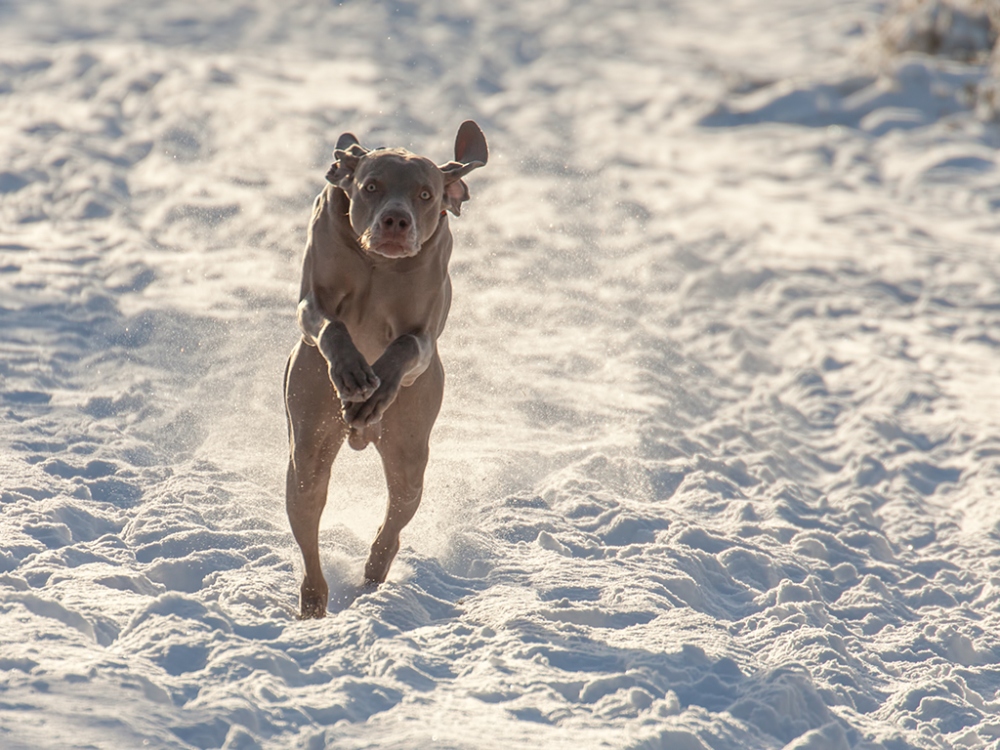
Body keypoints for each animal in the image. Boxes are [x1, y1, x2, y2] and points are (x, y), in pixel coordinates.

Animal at [284, 120, 490, 620]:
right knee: (309, 514)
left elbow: (405, 346)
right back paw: (314, 599)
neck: (377, 262)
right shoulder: (312, 301)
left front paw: (375, 392)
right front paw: (352, 372)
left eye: (425, 194)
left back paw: (374, 576)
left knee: (393, 524)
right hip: (309, 444)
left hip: (409, 453)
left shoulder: (423, 335)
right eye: (371, 186)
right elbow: (331, 325)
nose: (396, 220)